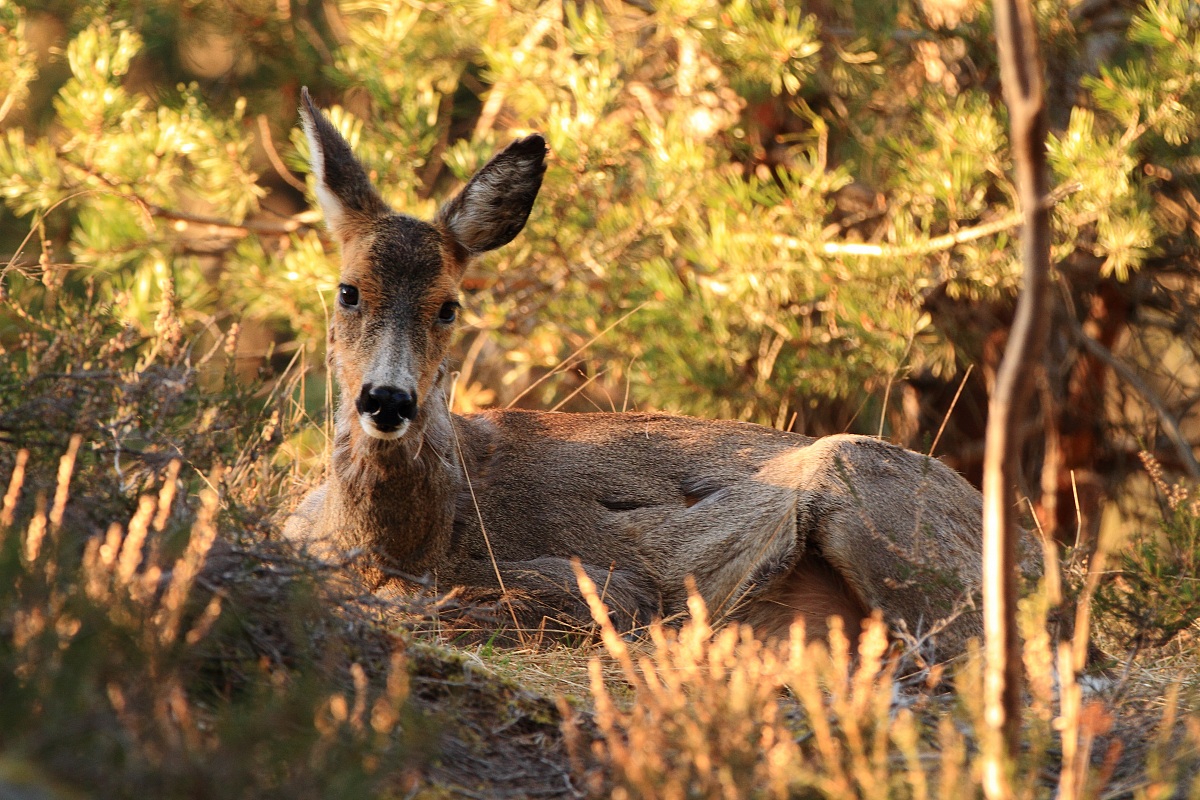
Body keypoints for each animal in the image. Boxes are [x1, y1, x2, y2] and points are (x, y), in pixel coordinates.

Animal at [285, 87, 1032, 657]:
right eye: (348, 291)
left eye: (448, 306)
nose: (387, 400)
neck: (402, 540)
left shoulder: (602, 582)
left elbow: (451, 605)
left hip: (861, 488)